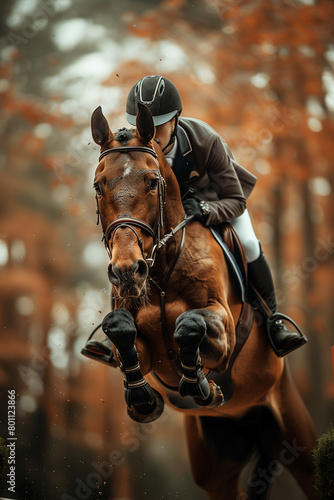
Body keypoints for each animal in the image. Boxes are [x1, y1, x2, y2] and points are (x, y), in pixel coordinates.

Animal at [85, 102, 318, 500]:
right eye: (100, 185)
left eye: (152, 182)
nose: (127, 272)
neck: (161, 271)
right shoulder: (138, 339)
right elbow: (121, 331)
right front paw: (144, 400)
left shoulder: (223, 332)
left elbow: (189, 325)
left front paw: (200, 386)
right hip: (216, 467)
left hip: (297, 439)